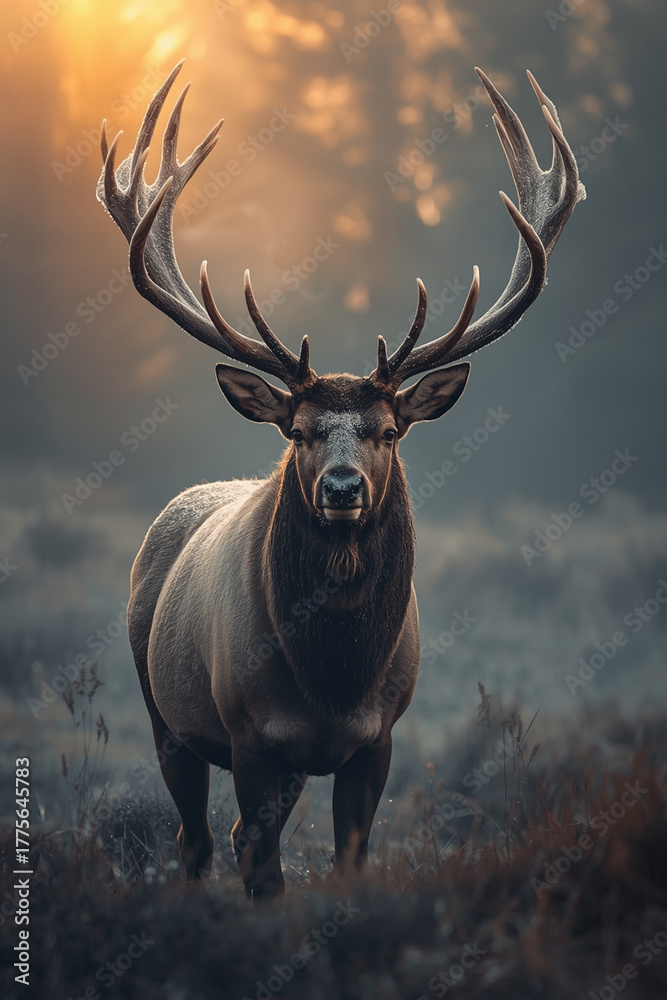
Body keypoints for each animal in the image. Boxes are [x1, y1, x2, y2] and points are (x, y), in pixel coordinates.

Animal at [97, 61, 584, 901]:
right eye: (297, 431)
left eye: (389, 431)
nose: (342, 489)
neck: (331, 676)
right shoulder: (250, 732)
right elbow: (260, 863)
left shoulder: (376, 737)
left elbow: (349, 856)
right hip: (165, 712)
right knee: (197, 837)